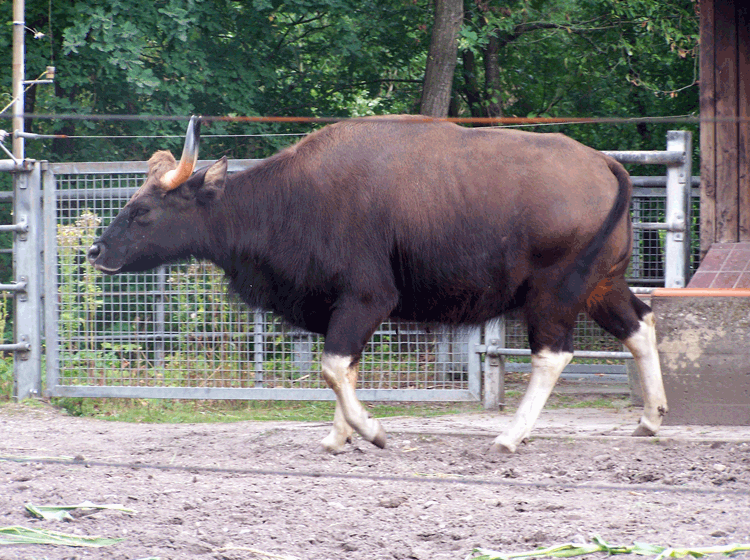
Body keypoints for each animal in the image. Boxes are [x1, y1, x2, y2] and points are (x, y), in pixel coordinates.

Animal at [87, 115, 668, 453]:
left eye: (142, 212)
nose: (96, 252)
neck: (290, 201)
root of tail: (605, 164)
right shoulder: (346, 307)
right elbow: (345, 369)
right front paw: (339, 434)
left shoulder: (368, 298)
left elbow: (332, 367)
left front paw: (371, 431)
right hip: (601, 284)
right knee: (640, 323)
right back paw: (651, 419)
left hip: (554, 291)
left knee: (553, 354)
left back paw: (509, 437)